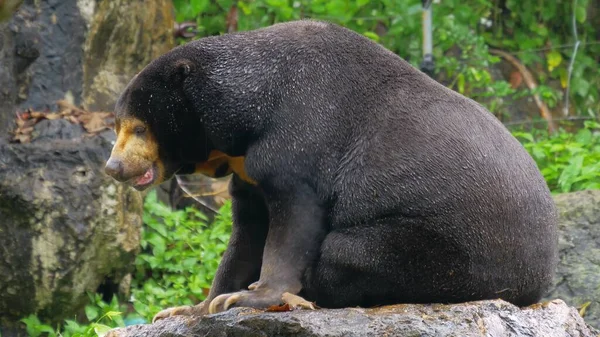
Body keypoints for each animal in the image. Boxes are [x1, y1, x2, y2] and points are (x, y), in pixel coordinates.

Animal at [103, 19, 556, 322]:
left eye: (139, 128)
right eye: (116, 125)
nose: (113, 167)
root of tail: (540, 279)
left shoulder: (300, 134)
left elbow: (293, 220)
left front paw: (251, 297)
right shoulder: (245, 171)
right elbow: (247, 233)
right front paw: (192, 307)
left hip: (452, 254)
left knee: (344, 252)